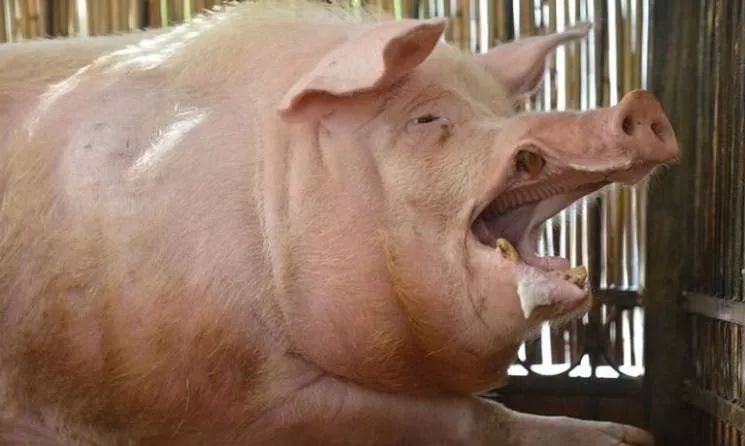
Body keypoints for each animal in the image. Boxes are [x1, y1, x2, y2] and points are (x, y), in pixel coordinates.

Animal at [0, 1, 679, 445]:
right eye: (426, 120)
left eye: (499, 109)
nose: (639, 103)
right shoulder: (211, 399)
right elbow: (470, 417)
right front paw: (627, 439)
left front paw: (626, 436)